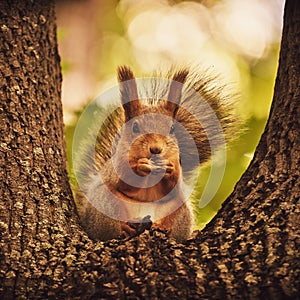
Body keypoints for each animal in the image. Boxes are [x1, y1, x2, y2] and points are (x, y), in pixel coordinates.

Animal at [74, 65, 238, 241]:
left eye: (172, 128)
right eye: (135, 127)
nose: (156, 149)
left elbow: (172, 188)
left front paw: (170, 170)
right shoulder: (114, 166)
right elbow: (124, 180)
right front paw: (140, 166)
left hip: (180, 211)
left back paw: (163, 227)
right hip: (105, 203)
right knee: (111, 228)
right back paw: (125, 228)